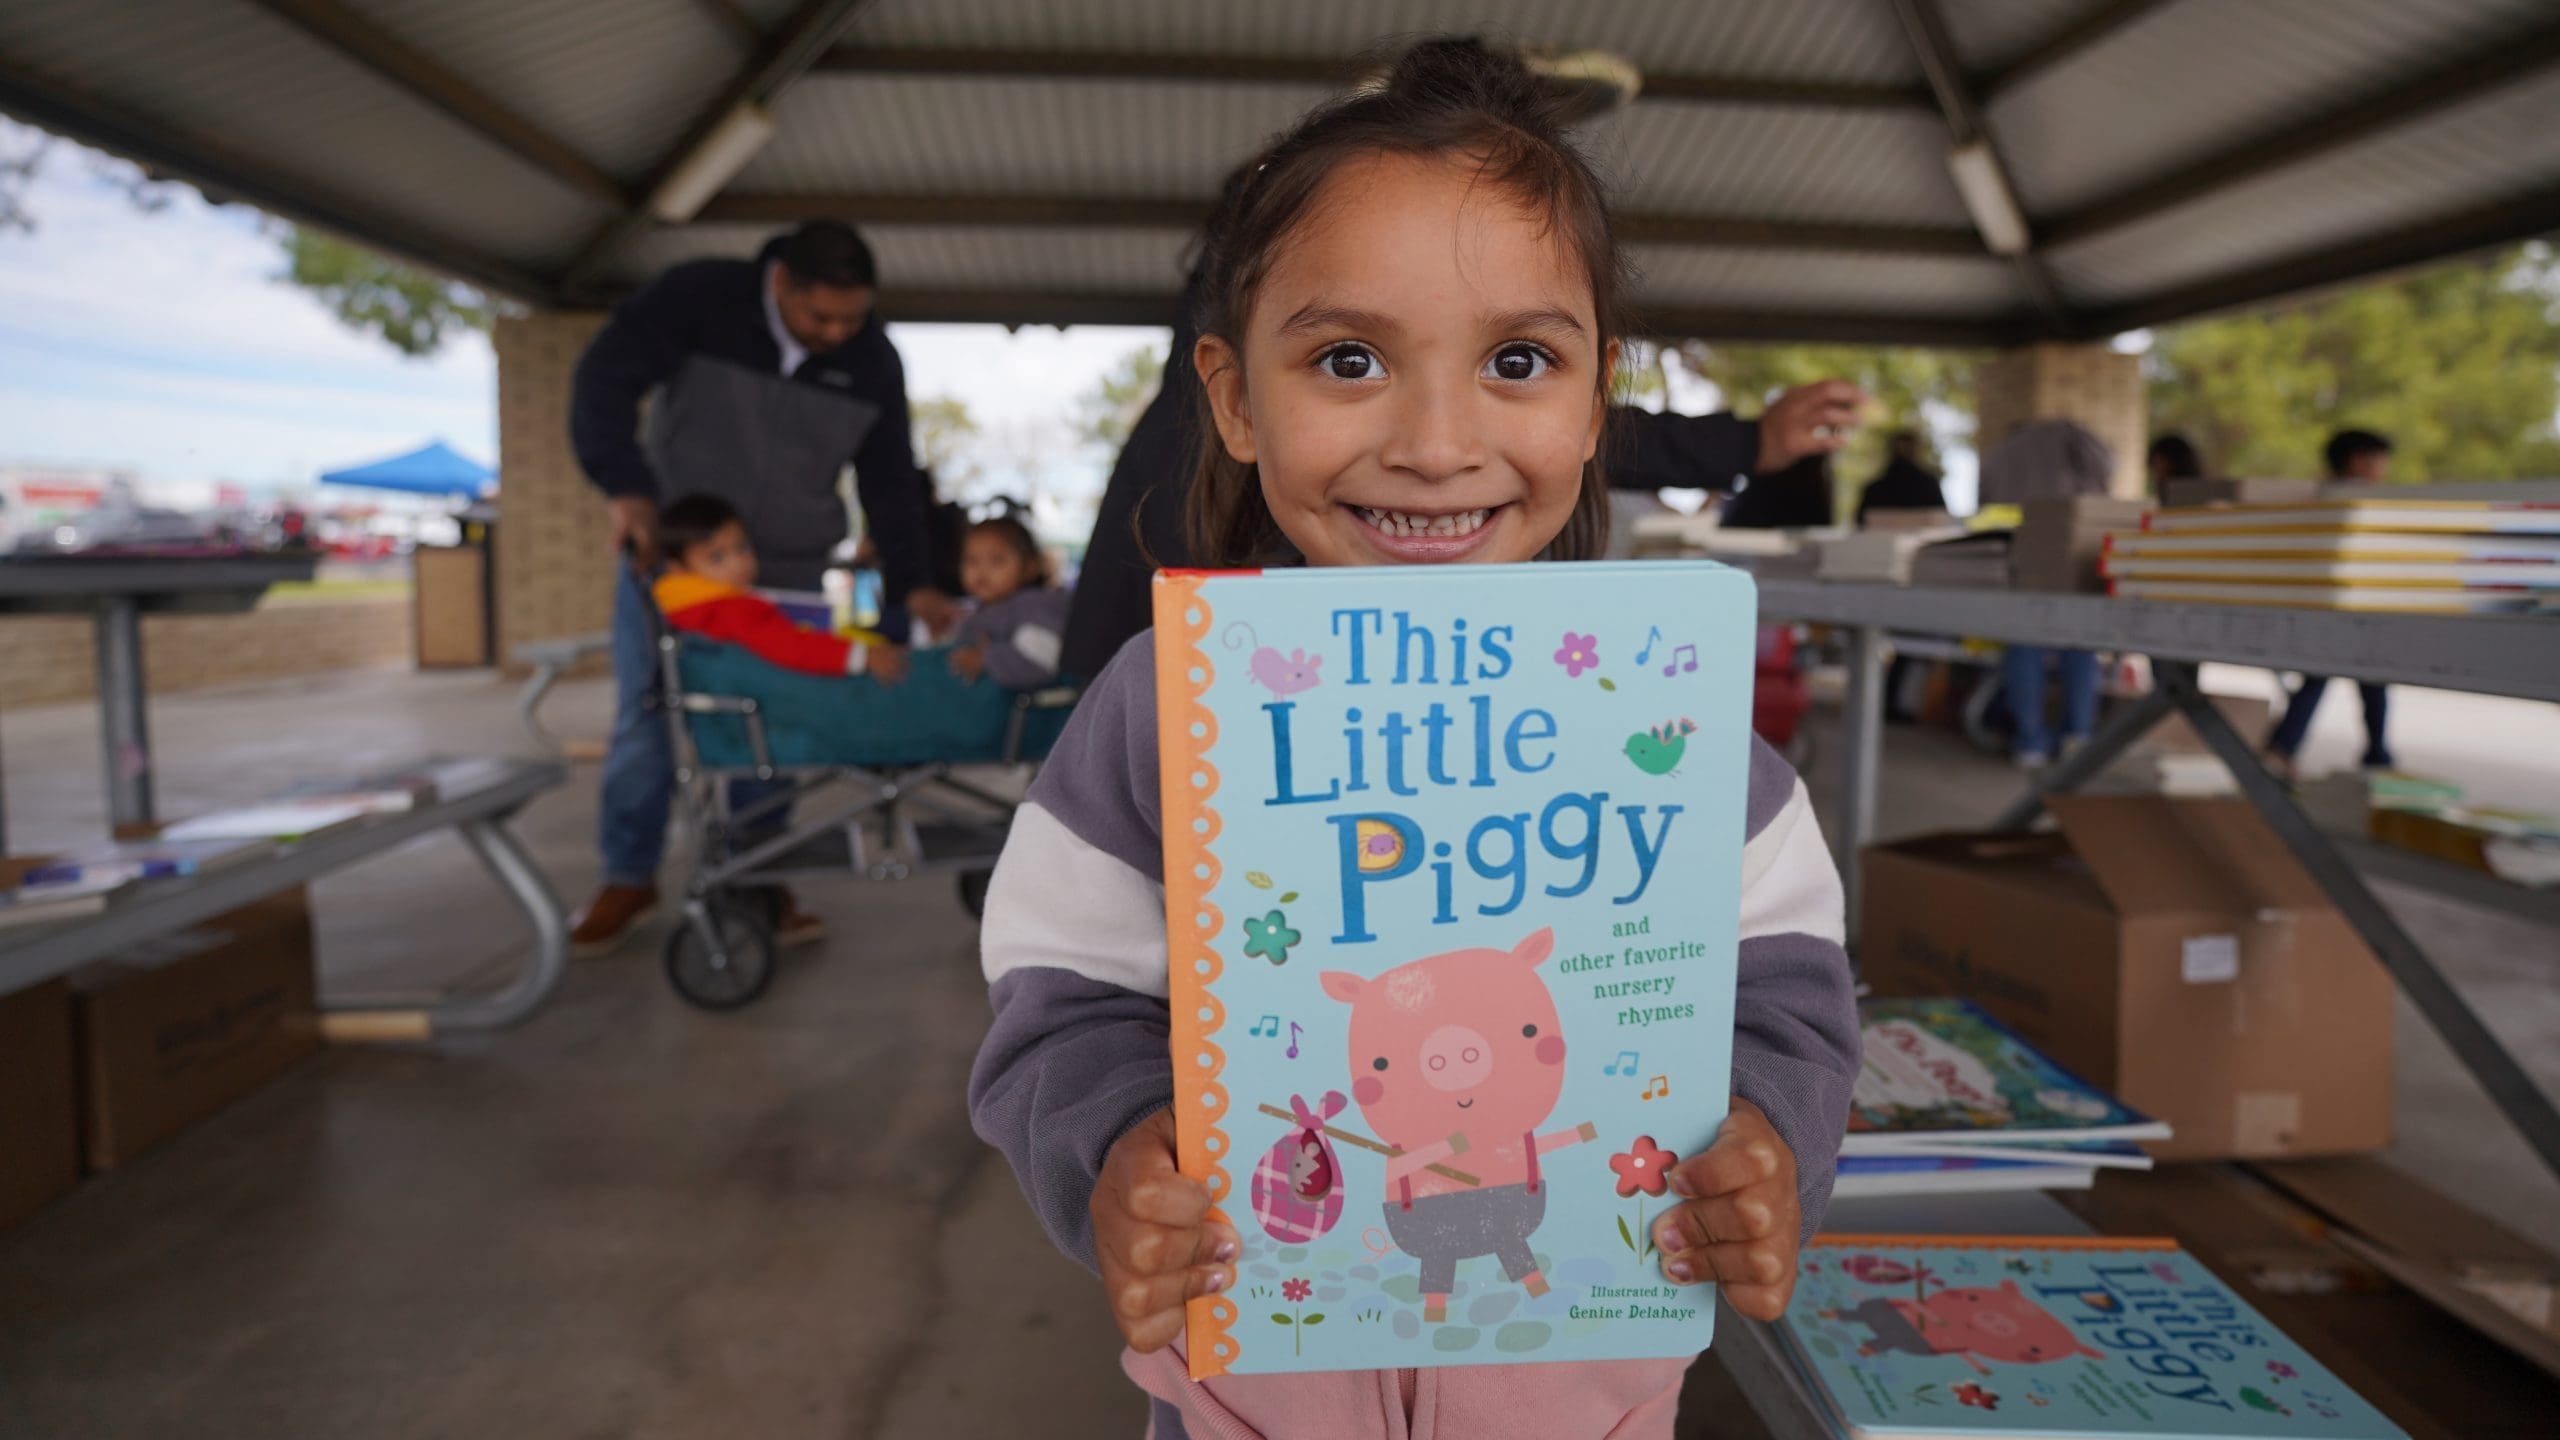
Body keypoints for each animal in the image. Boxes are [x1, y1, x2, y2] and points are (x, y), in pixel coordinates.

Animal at [1320, 927, 1596, 1323]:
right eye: (1380, 1063)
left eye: (1530, 1030)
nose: (1453, 1050)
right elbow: (1411, 1160)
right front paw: (1452, 1143)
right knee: (1437, 1275)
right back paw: (1435, 1314)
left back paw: (1541, 1293)